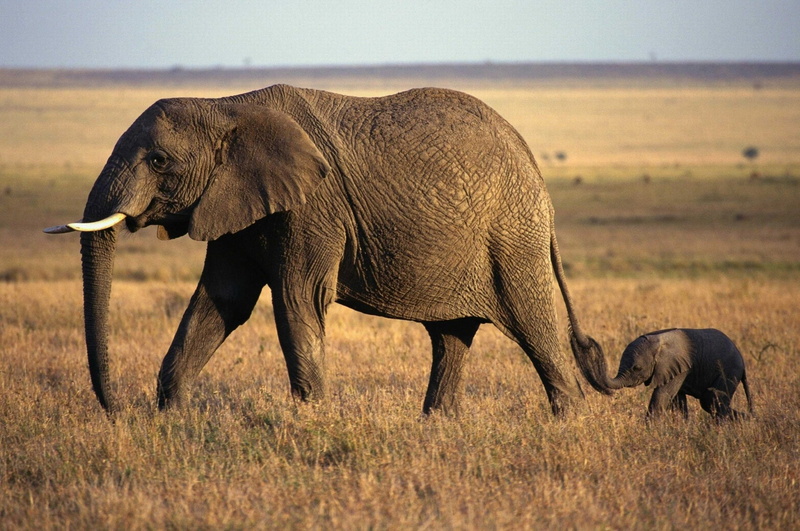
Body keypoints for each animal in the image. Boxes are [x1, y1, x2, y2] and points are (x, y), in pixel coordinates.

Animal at [44, 84, 613, 416]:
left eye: (159, 161)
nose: (118, 410)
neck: (226, 105)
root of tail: (532, 162)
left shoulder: (313, 205)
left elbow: (296, 299)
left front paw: (311, 422)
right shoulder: (235, 202)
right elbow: (221, 301)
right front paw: (173, 422)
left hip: (511, 238)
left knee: (533, 325)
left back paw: (569, 424)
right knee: (451, 336)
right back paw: (438, 426)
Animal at [608, 328, 753, 420]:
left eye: (637, 368)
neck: (657, 341)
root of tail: (741, 358)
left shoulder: (677, 367)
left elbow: (662, 395)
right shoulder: (676, 369)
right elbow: (677, 400)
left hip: (729, 370)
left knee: (711, 400)